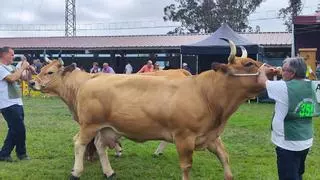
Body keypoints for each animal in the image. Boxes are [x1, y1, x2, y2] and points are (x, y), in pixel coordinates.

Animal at [30, 39, 278, 180]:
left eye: (49, 72)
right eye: (248, 64)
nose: (274, 70)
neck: (205, 93)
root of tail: (93, 80)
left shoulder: (211, 136)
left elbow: (225, 158)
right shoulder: (184, 137)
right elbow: (186, 166)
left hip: (105, 127)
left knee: (100, 146)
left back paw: (109, 172)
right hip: (89, 125)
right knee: (79, 143)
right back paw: (77, 172)